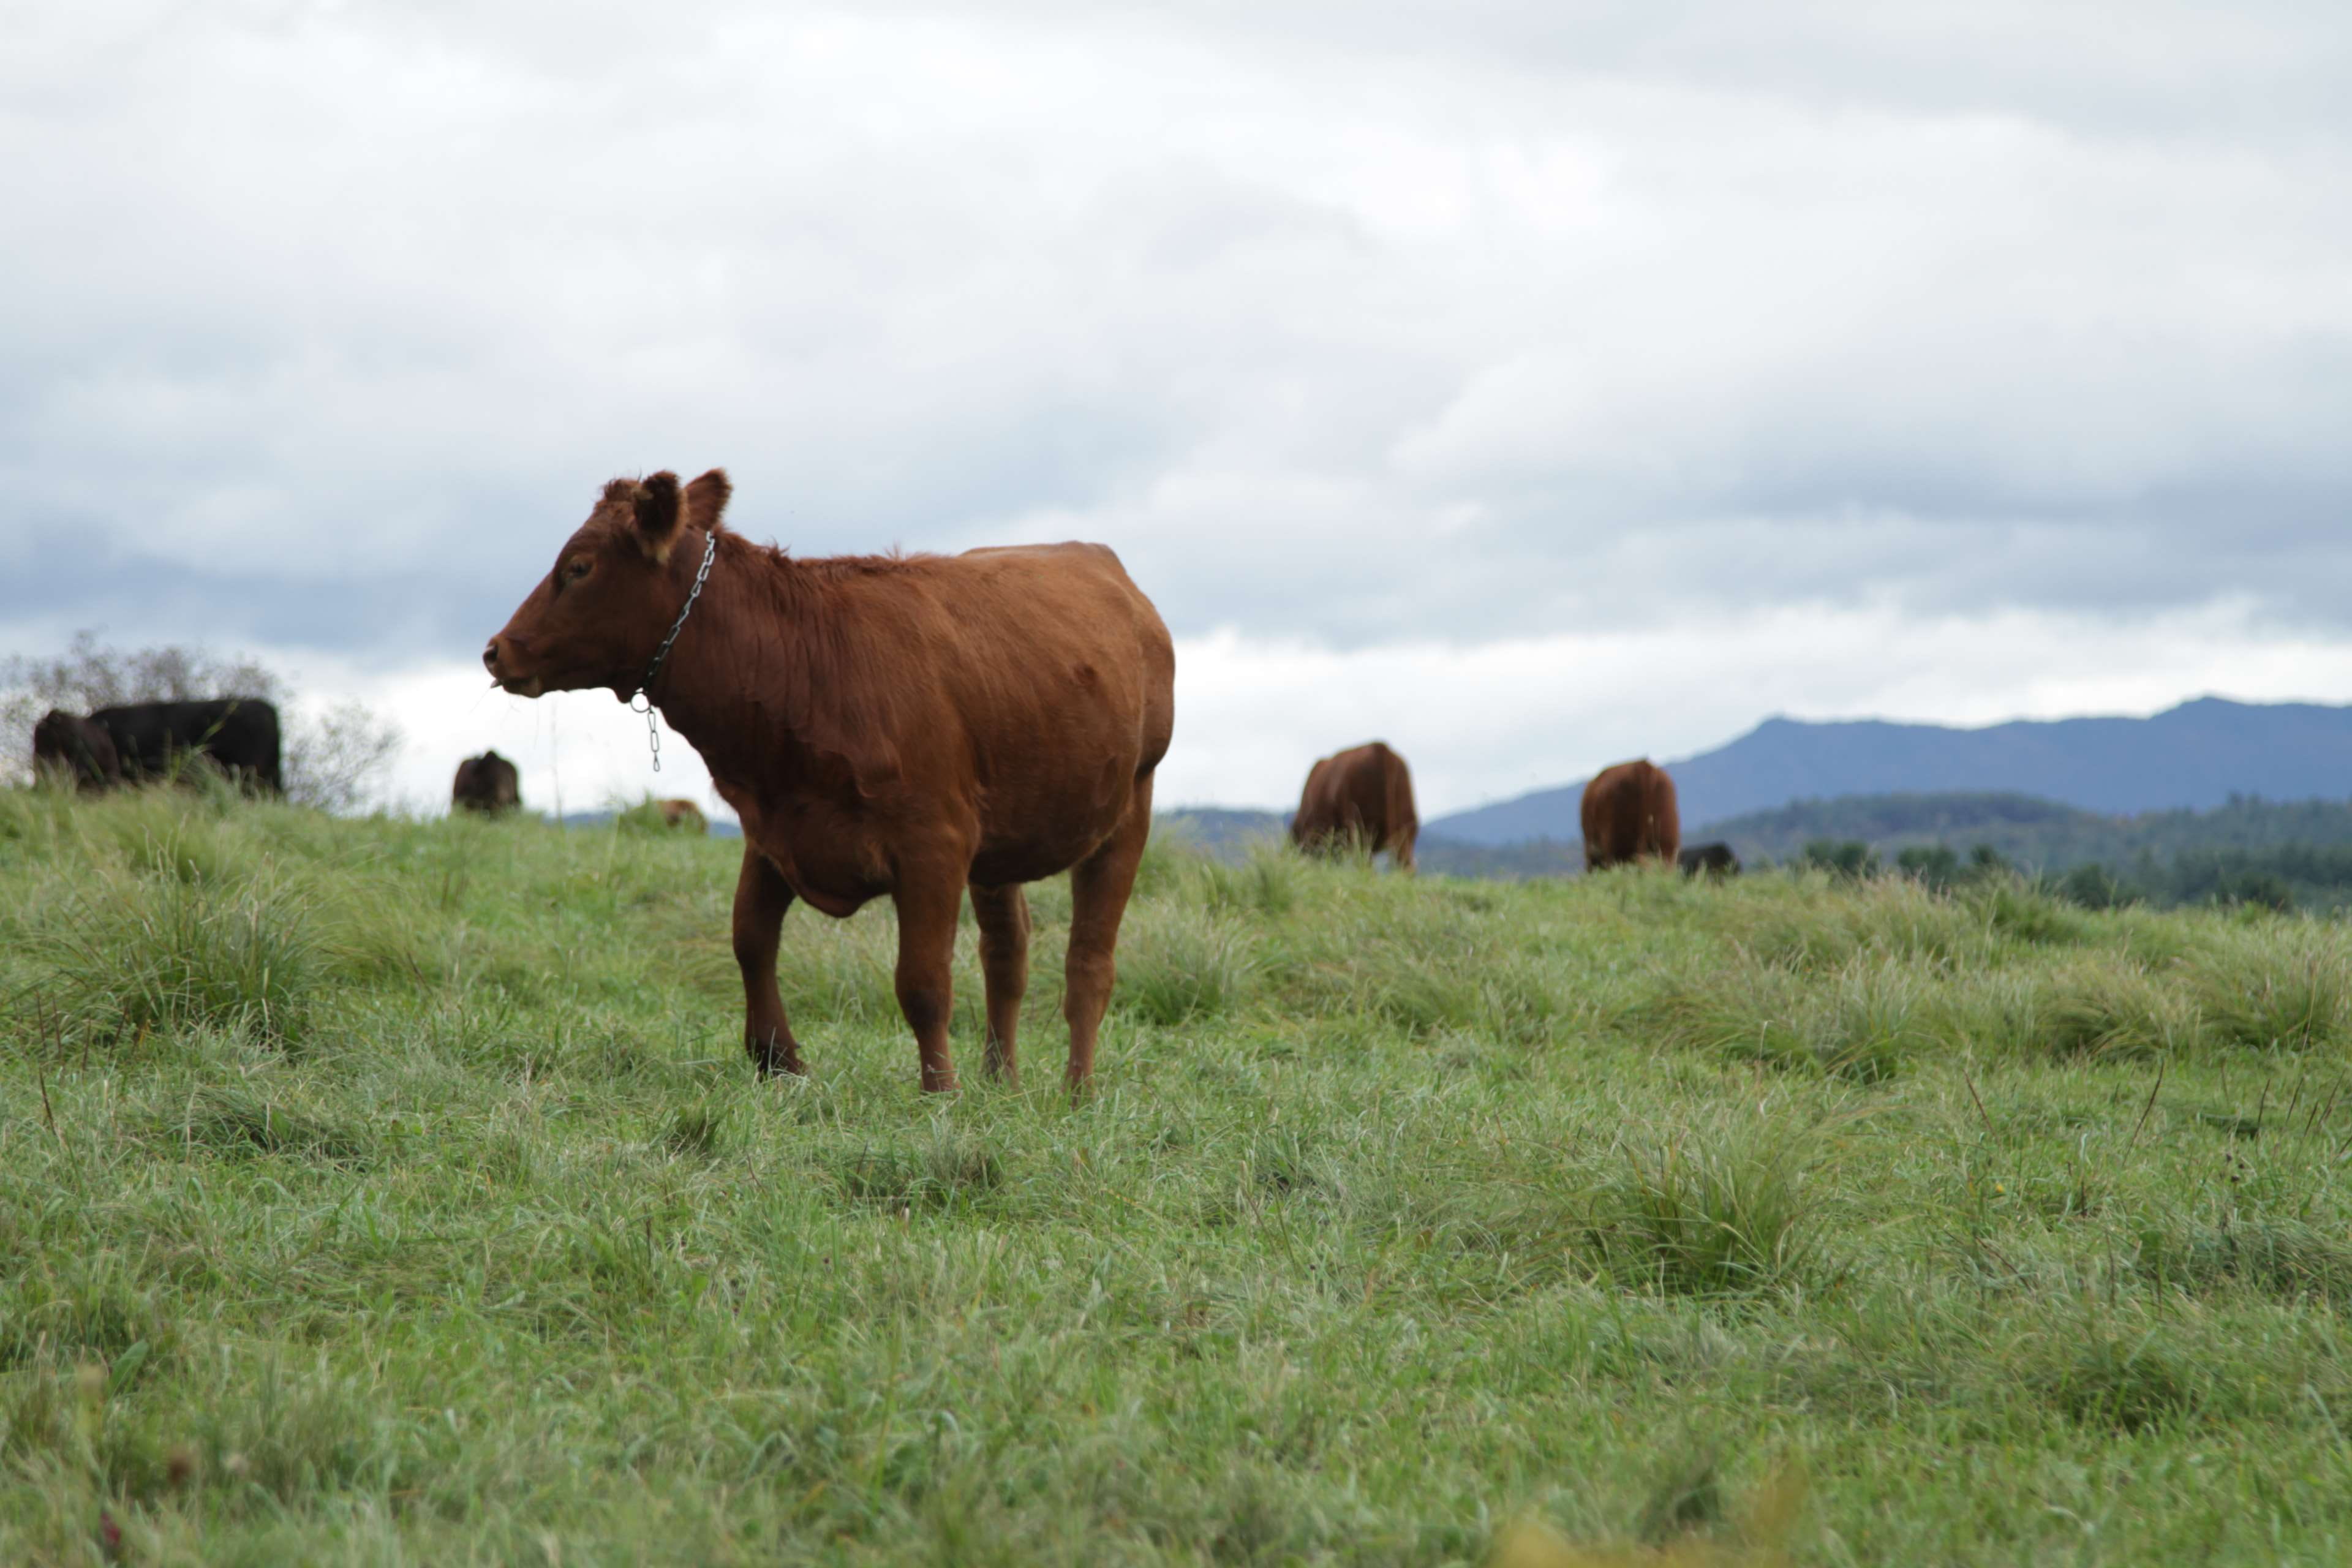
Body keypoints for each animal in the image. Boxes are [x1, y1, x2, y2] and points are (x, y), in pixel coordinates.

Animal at [484, 472, 1176, 1100]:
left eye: (578, 567)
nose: (496, 650)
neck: (812, 665)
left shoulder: (934, 844)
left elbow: (922, 980)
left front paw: (940, 1091)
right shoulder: (774, 830)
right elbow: (750, 940)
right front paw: (777, 1059)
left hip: (1127, 813)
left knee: (1089, 963)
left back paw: (1077, 1090)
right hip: (1001, 844)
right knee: (1008, 951)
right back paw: (1000, 1082)